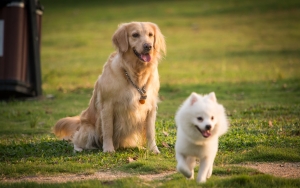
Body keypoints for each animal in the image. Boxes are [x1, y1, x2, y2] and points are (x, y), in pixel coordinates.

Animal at [54, 22, 166, 154]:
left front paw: (153, 149)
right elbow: (108, 130)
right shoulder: (107, 106)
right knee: (77, 140)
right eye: (135, 35)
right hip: (88, 130)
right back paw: (81, 149)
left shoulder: (150, 107)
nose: (148, 46)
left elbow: (150, 132)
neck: (134, 74)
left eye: (150, 35)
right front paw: (108, 149)